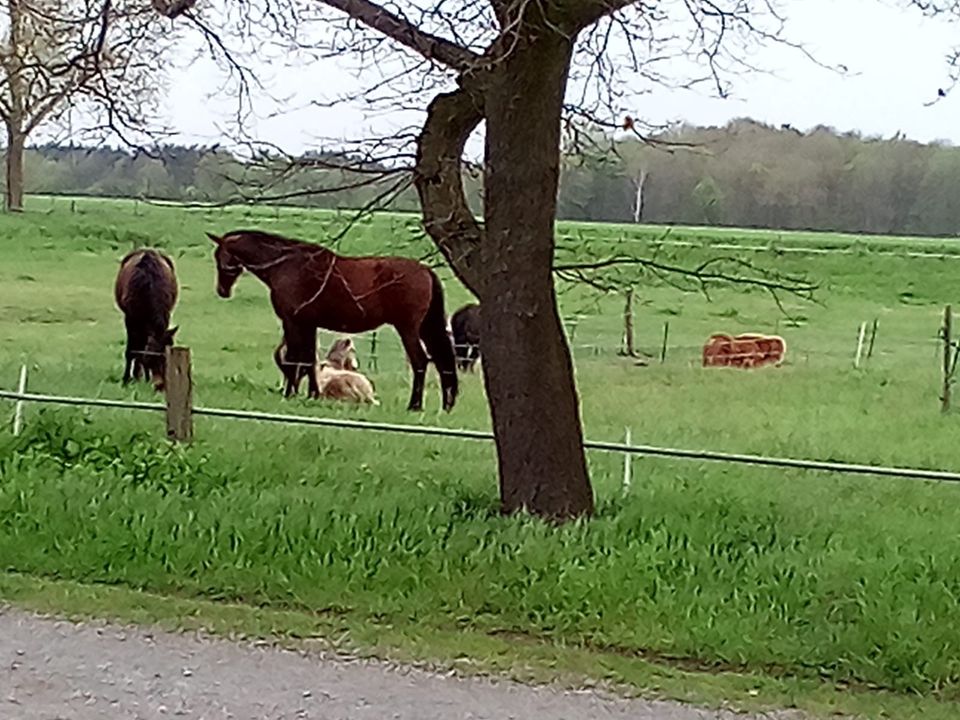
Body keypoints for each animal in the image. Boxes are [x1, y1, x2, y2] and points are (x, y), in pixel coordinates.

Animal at [114, 250, 178, 390]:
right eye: (151, 357)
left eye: (167, 358)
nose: (160, 386)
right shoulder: (130, 319)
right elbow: (132, 350)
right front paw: (126, 379)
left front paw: (144, 378)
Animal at [208, 231, 456, 410]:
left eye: (221, 256)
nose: (222, 290)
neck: (287, 266)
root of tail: (425, 270)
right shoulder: (308, 325)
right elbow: (308, 359)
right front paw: (312, 394)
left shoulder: (293, 322)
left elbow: (295, 359)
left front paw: (291, 394)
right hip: (425, 328)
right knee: (440, 361)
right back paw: (445, 405)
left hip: (408, 328)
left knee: (420, 362)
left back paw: (414, 405)